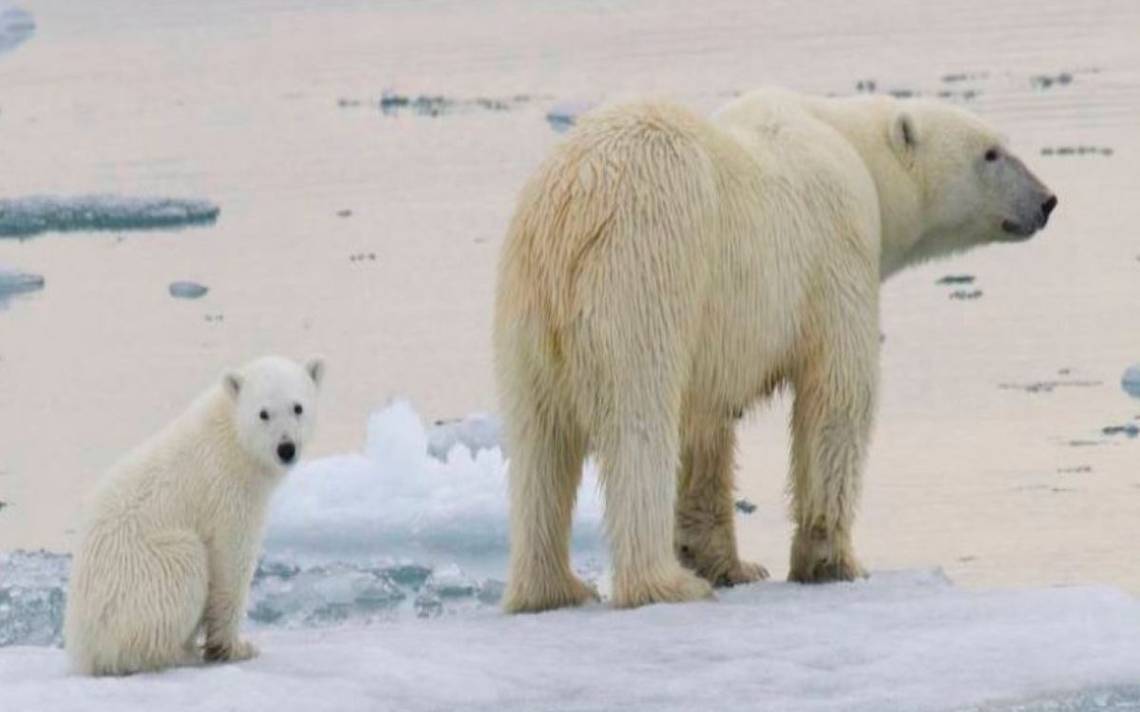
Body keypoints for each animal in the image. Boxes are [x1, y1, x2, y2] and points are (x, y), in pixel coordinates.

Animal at [494, 88, 1053, 610]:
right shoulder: (837, 250)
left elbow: (706, 428)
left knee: (537, 443)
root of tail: (572, 208)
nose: (1047, 201)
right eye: (991, 152)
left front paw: (728, 563)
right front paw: (833, 562)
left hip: (526, 306)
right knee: (639, 423)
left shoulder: (716, 335)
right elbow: (837, 396)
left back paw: (554, 588)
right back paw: (664, 584)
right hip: (645, 271)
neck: (852, 145)